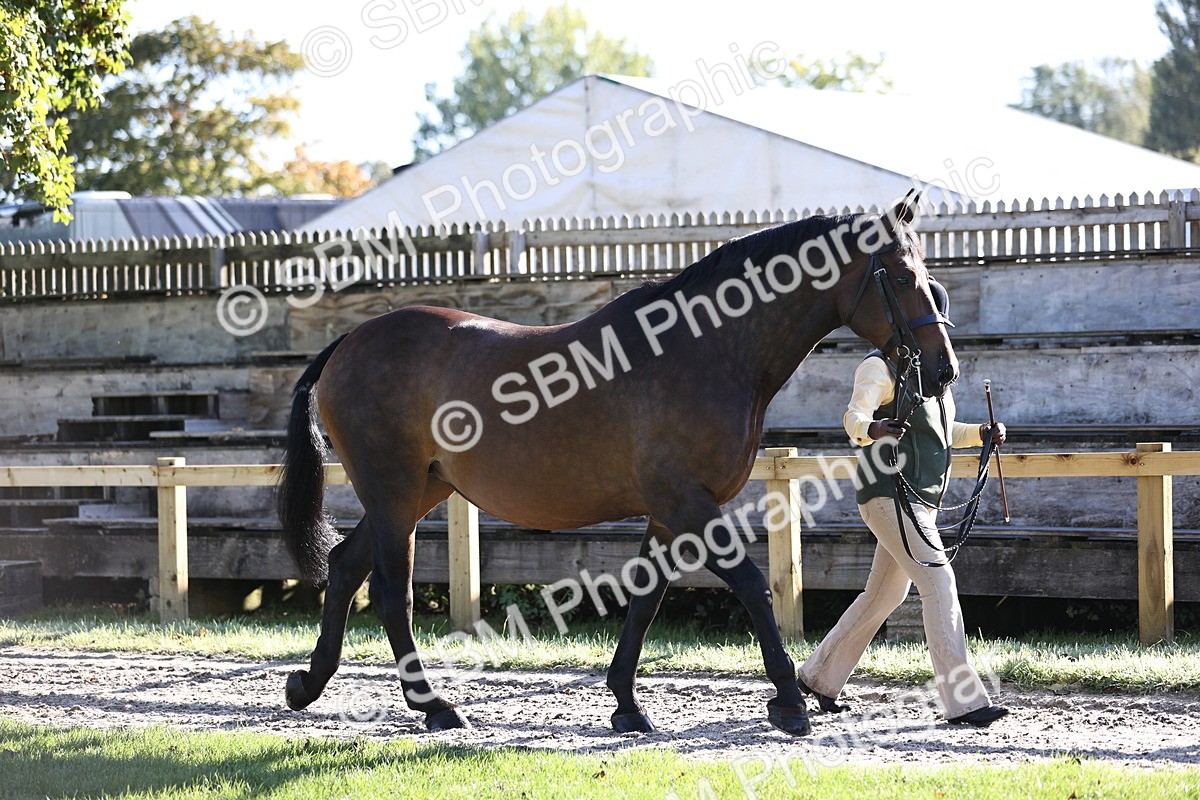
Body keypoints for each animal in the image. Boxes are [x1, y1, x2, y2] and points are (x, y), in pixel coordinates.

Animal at [276, 190, 957, 737]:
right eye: (901, 276)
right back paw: (435, 706)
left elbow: (645, 599)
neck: (705, 350)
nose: (943, 368)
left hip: (419, 489)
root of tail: (348, 342)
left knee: (346, 566)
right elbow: (751, 586)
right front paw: (789, 702)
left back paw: (308, 684)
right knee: (393, 593)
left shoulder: (669, 510)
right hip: (393, 490)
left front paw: (627, 705)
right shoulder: (688, 502)